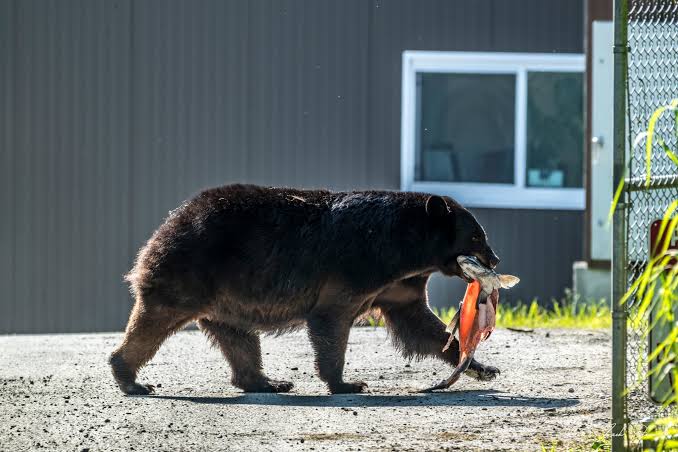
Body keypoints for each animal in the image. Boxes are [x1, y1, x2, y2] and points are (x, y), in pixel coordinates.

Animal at [109, 184, 501, 395]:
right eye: (476, 236)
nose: (495, 259)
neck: (403, 249)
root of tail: (166, 227)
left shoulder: (398, 285)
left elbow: (421, 326)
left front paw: (481, 365)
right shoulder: (356, 266)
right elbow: (331, 319)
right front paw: (346, 382)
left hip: (226, 300)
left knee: (239, 339)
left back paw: (267, 382)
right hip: (188, 274)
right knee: (154, 323)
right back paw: (129, 377)